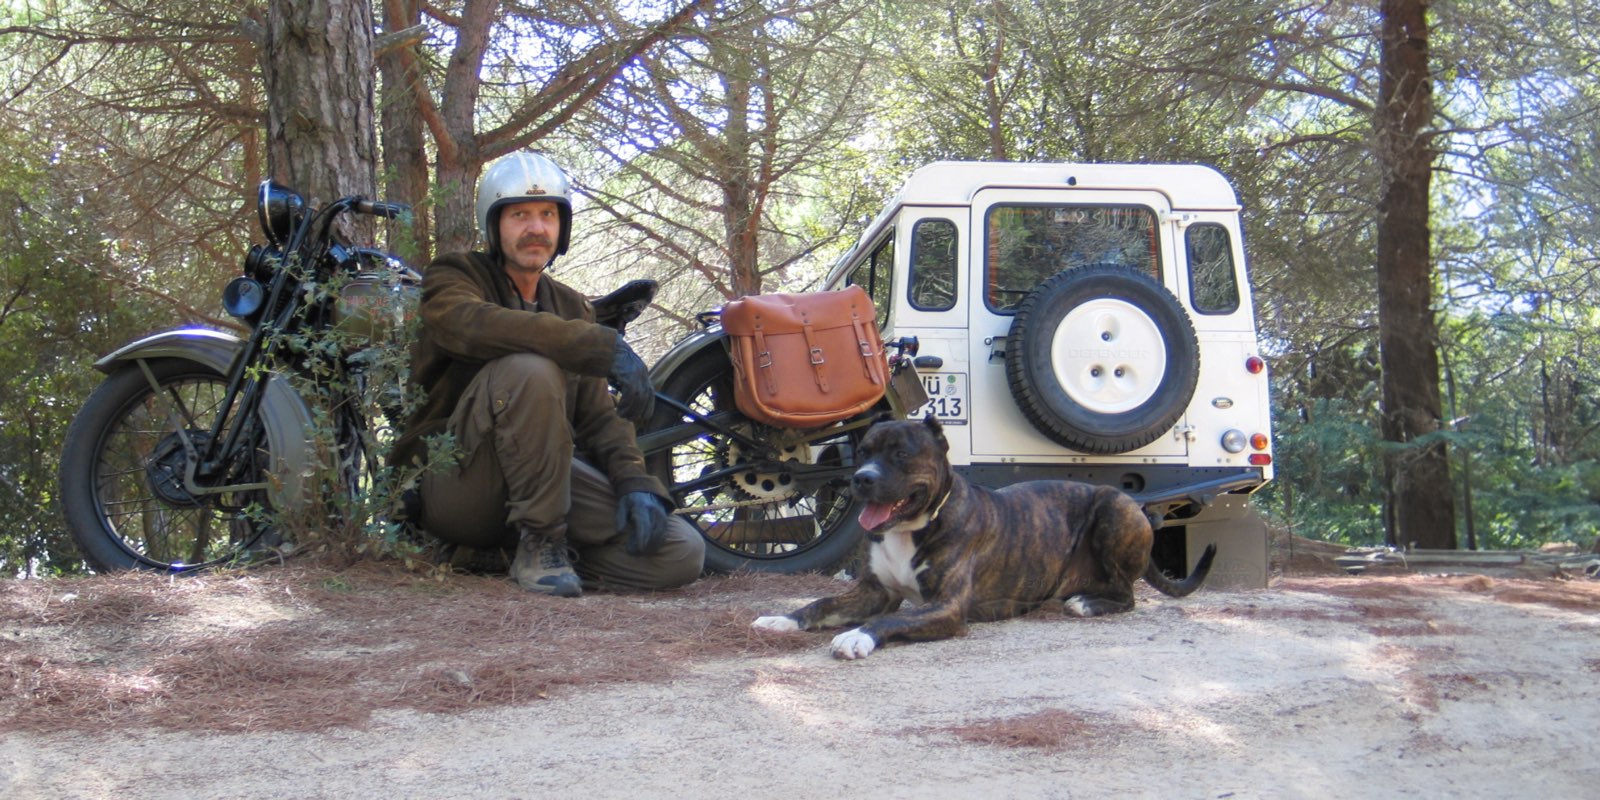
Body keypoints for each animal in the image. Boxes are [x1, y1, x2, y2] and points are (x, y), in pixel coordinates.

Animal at [748, 416, 1209, 659]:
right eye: (862, 453)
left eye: (902, 454)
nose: (861, 478)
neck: (912, 528)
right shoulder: (873, 591)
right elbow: (822, 602)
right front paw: (783, 619)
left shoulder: (946, 607)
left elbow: (888, 619)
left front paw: (858, 635)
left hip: (1114, 508)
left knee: (1127, 594)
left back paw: (1087, 604)